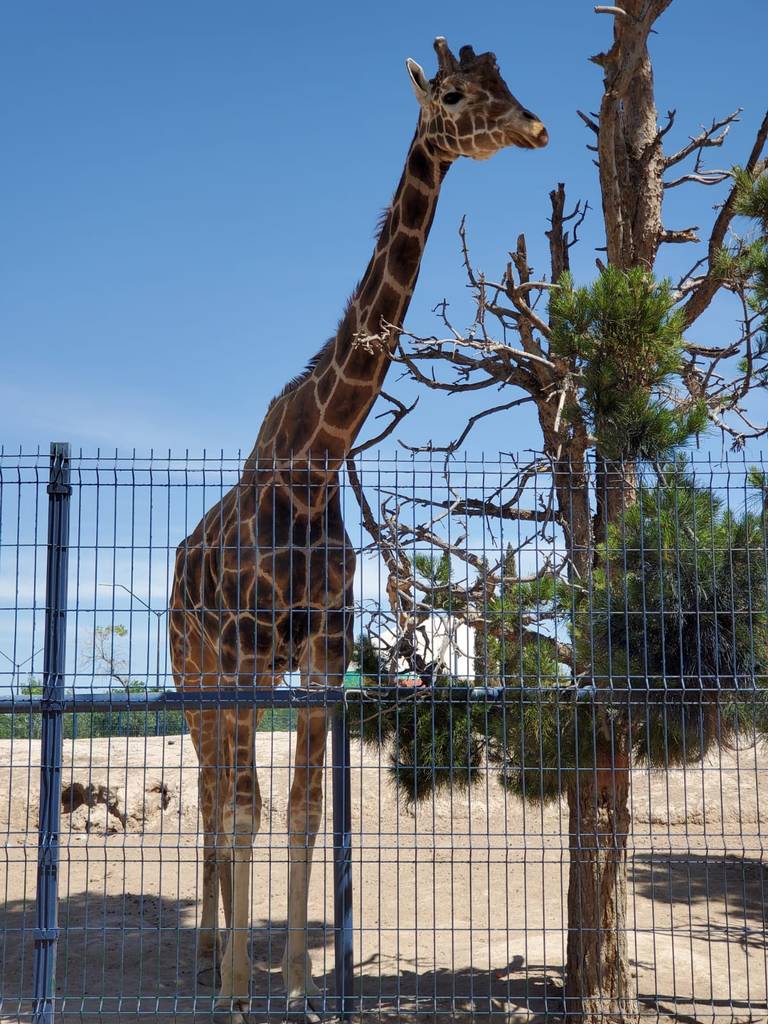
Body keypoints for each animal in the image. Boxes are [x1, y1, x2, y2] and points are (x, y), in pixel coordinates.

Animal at [171, 36, 548, 1019]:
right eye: (453, 94)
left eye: (504, 81)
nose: (535, 126)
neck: (314, 460)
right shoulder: (241, 649)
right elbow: (246, 807)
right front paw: (242, 991)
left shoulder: (322, 648)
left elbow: (305, 807)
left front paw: (301, 986)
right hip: (195, 673)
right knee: (211, 793)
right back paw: (207, 960)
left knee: (224, 794)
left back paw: (217, 953)